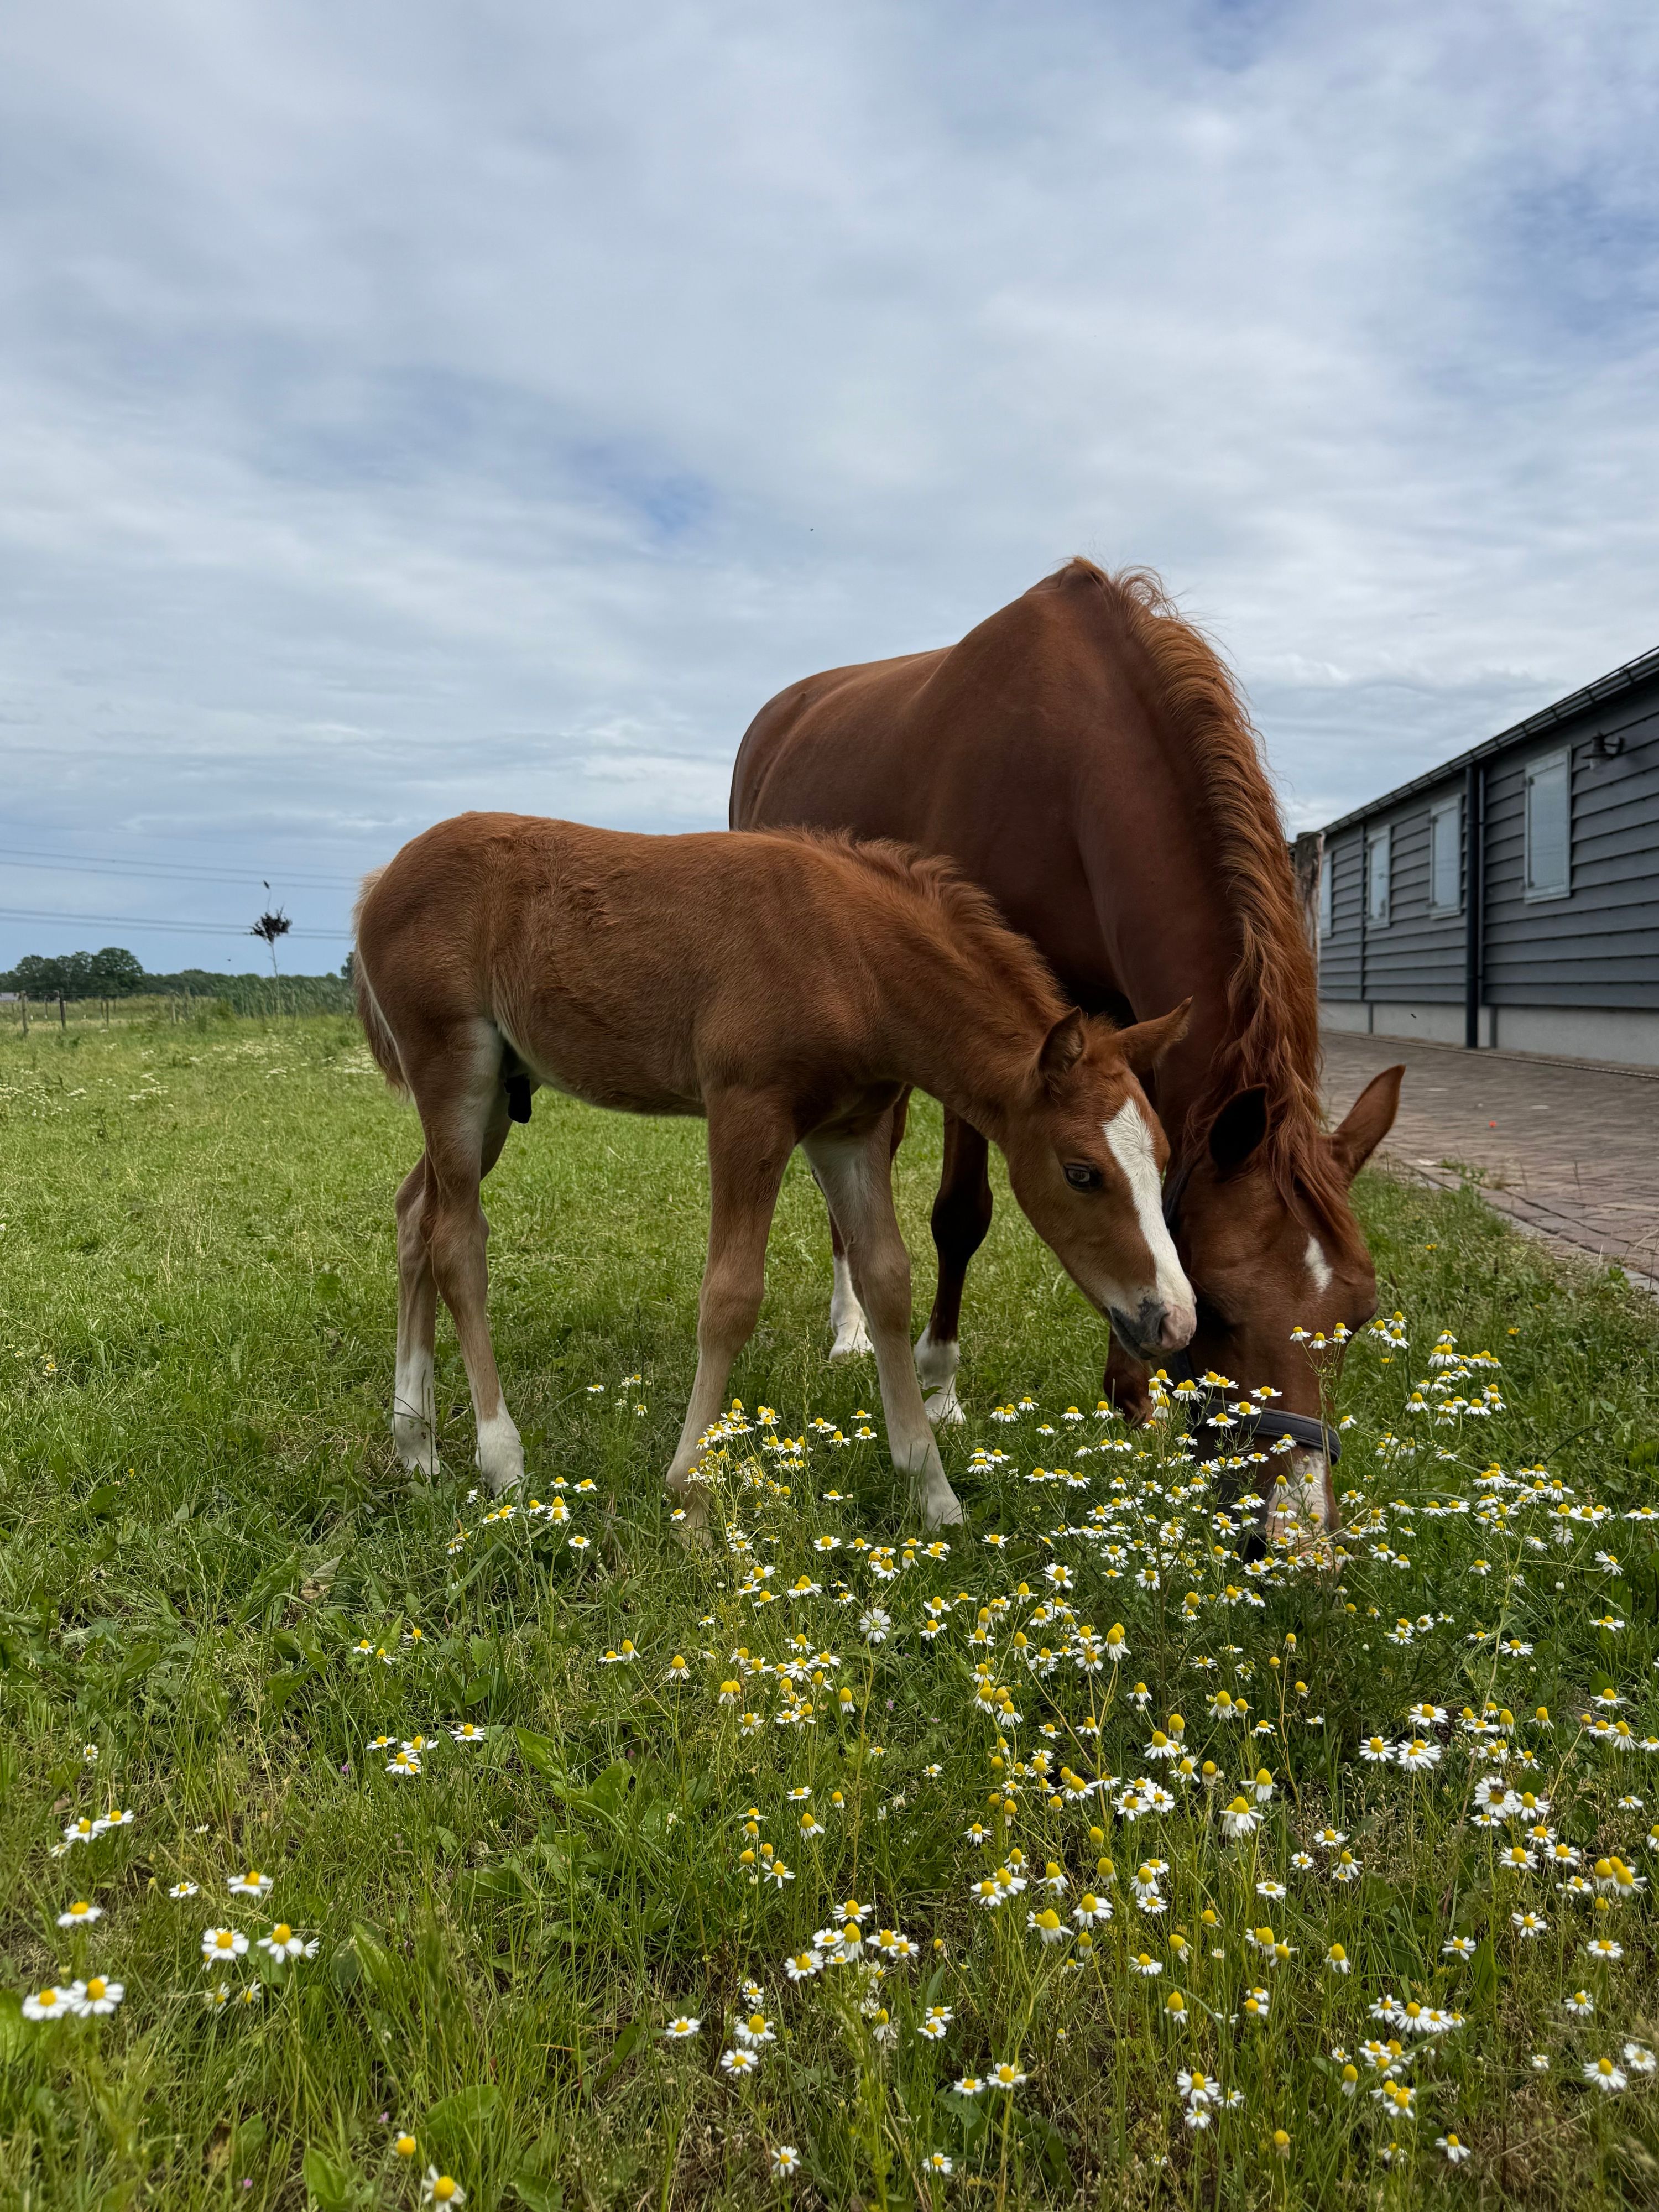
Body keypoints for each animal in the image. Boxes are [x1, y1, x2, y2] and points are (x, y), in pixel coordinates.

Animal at [352, 811, 1197, 1530]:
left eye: (1161, 1160)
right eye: (1082, 1173)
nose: (1174, 1320)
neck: (853, 960)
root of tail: (381, 879)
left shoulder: (850, 1131)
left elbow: (888, 1282)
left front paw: (933, 1493)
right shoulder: (746, 1111)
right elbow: (730, 1296)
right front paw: (691, 1489)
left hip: (500, 1091)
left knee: (415, 1214)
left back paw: (415, 1444)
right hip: (454, 1069)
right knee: (457, 1238)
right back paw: (502, 1459)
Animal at [731, 559, 1404, 1539]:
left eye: (1358, 1315)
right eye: (1228, 1310)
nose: (1294, 1535)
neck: (1070, 767)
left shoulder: (1127, 1025)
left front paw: (1132, 1397)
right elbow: (961, 1214)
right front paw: (940, 1387)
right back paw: (852, 1327)